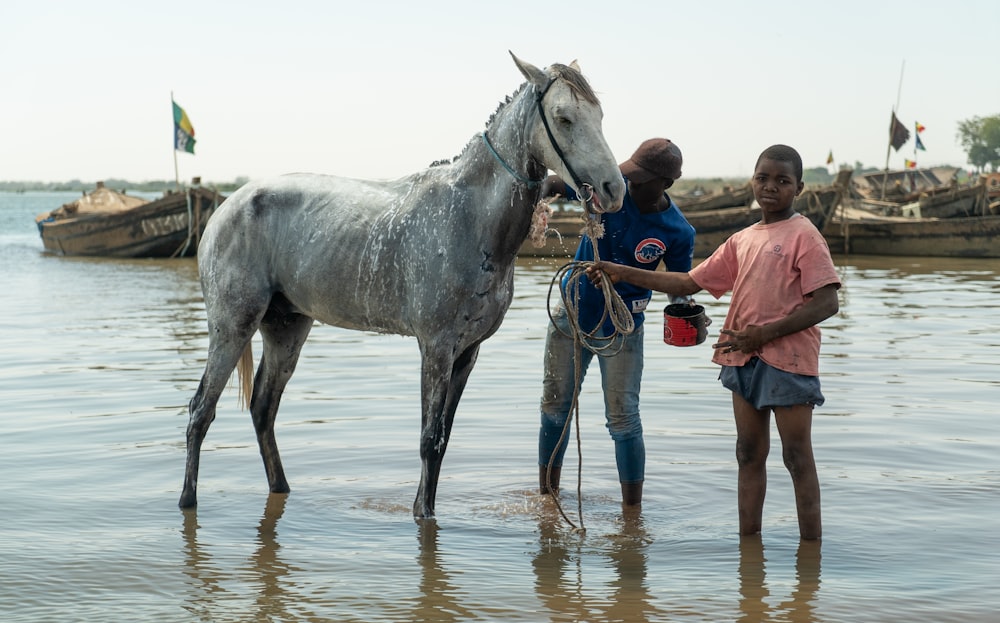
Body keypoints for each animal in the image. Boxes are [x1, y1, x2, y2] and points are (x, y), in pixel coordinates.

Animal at [176, 53, 620, 520]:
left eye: (600, 115)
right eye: (564, 117)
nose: (614, 188)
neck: (470, 215)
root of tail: (223, 210)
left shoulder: (468, 352)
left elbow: (442, 439)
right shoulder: (436, 347)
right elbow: (428, 440)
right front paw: (422, 515)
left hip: (286, 327)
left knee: (263, 407)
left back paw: (281, 489)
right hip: (233, 326)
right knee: (200, 411)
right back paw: (187, 500)